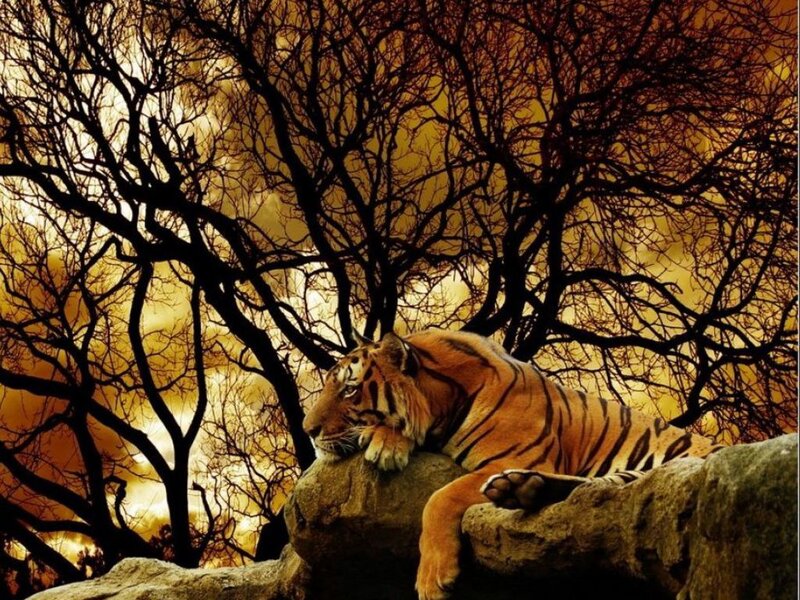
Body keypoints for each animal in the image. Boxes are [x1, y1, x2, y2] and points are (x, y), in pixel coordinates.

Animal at [302, 328, 723, 600]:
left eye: (350, 389)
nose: (307, 430)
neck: (443, 401)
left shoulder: (515, 456)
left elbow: (439, 497)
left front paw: (433, 579)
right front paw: (386, 441)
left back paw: (516, 489)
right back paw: (521, 489)